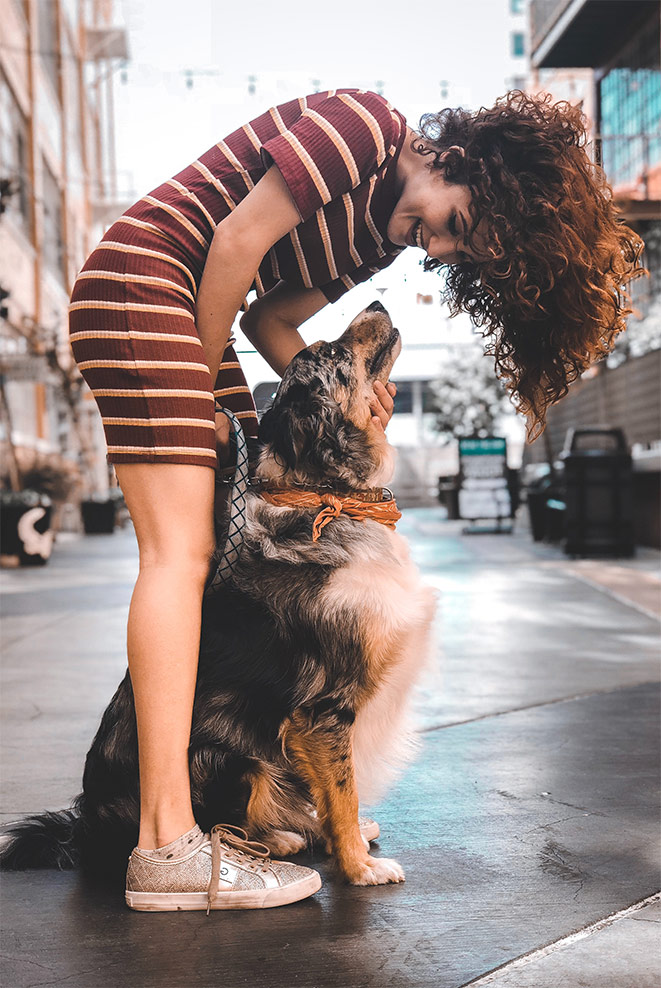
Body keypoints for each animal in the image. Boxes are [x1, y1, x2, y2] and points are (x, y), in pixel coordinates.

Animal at [1, 302, 438, 888]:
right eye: (331, 350)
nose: (375, 305)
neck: (329, 501)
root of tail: (86, 830)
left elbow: (330, 795)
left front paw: (341, 846)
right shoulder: (323, 708)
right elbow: (342, 793)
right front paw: (358, 866)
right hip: (228, 757)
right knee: (222, 824)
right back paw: (269, 843)